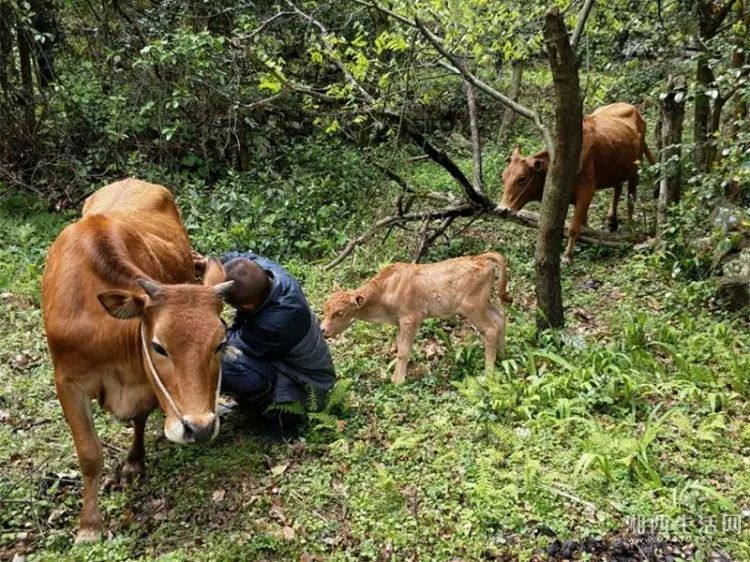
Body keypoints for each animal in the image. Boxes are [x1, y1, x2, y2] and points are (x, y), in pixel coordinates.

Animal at [41, 178, 234, 540]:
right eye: (159, 346)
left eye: (221, 343)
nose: (200, 428)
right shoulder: (67, 383)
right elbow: (89, 454)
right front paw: (89, 526)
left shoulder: (144, 382)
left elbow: (140, 418)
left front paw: (134, 462)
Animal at [320, 253, 508, 380]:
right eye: (325, 307)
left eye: (340, 312)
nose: (322, 329)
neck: (385, 291)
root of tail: (481, 257)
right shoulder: (400, 322)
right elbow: (400, 347)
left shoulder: (410, 319)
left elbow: (403, 351)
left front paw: (397, 381)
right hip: (484, 303)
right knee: (500, 318)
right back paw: (502, 357)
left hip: (472, 307)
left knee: (490, 329)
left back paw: (489, 372)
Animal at [502, 102, 656, 260]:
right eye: (503, 178)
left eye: (522, 179)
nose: (502, 209)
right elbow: (583, 222)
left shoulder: (586, 191)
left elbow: (574, 226)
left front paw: (567, 256)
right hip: (617, 168)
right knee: (617, 189)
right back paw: (611, 220)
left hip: (636, 168)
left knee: (631, 196)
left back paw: (631, 226)